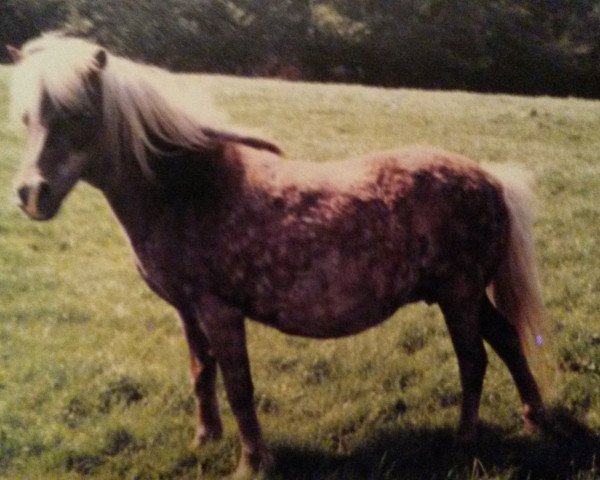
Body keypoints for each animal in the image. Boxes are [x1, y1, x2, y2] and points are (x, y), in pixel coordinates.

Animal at [9, 33, 552, 476]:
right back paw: (534, 419)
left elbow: (239, 386)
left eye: (78, 115)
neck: (188, 190)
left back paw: (465, 440)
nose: (31, 194)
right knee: (507, 340)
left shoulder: (220, 311)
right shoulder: (187, 311)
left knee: (474, 360)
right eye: (27, 118)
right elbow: (202, 374)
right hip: (464, 294)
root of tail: (489, 178)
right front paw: (205, 439)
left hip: (458, 295)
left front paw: (253, 462)